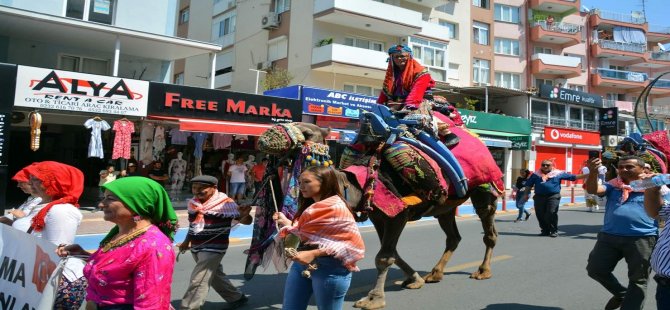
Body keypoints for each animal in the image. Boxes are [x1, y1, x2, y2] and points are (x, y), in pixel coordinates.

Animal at [255, 122, 502, 308]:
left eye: (306, 132)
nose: (264, 137)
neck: (356, 186)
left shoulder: (398, 213)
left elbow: (384, 256)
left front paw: (373, 299)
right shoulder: (378, 216)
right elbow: (391, 252)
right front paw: (414, 279)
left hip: (484, 191)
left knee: (489, 231)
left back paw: (483, 271)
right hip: (446, 207)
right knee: (453, 236)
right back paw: (435, 274)